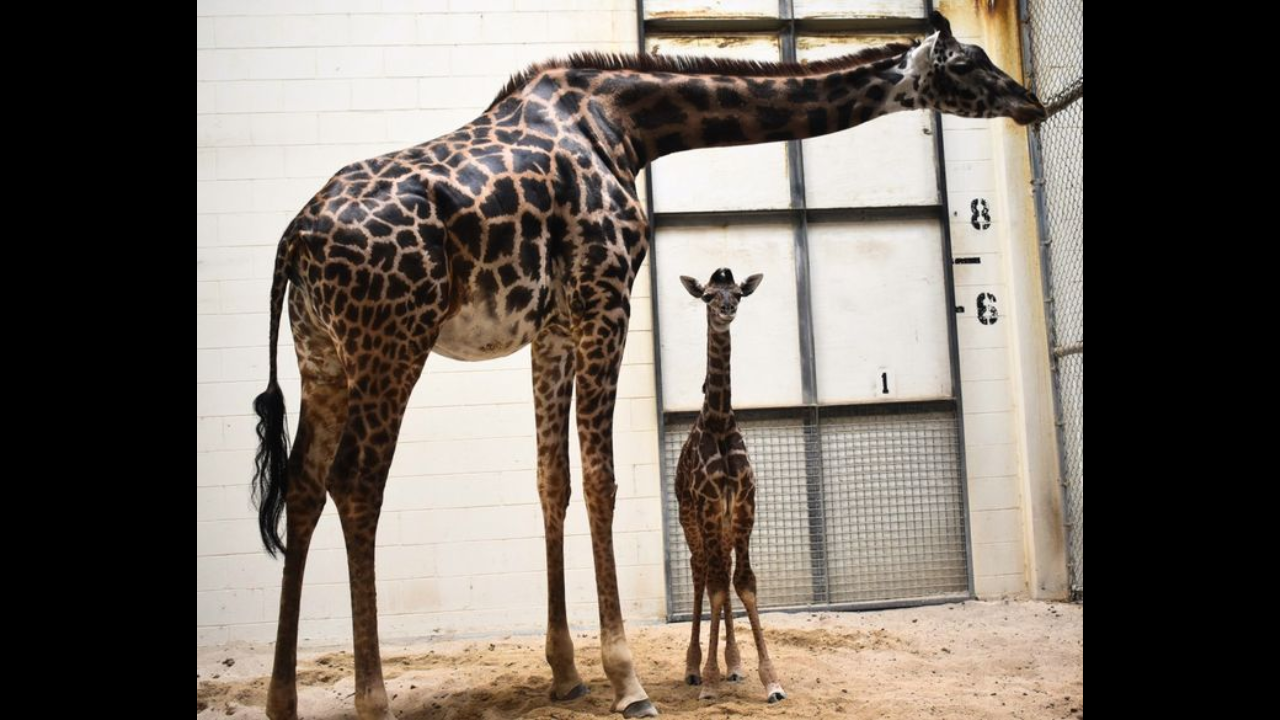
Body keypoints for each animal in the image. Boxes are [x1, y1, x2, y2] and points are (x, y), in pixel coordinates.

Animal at [254, 12, 1044, 717]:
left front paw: (567, 675)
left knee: (303, 484)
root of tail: (295, 238)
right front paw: (627, 682)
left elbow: (554, 482)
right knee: (358, 485)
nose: (1030, 103)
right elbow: (601, 482)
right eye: (968, 62)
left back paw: (281, 699)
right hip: (392, 342)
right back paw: (374, 699)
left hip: (321, 355)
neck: (627, 126)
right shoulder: (607, 301)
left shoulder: (554, 329)